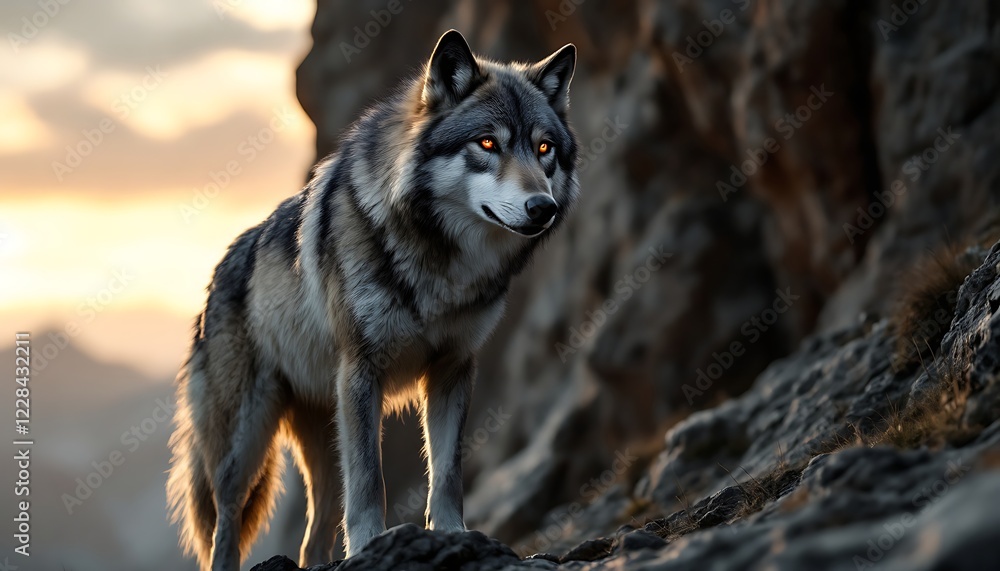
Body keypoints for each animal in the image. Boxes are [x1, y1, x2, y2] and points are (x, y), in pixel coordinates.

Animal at [166, 29, 578, 570]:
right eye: (488, 143)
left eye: (544, 148)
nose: (542, 208)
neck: (441, 264)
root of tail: (216, 276)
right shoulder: (363, 372)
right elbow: (368, 480)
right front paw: (369, 547)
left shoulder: (452, 368)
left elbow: (447, 471)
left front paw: (453, 534)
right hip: (248, 438)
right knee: (228, 520)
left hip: (323, 435)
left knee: (314, 529)